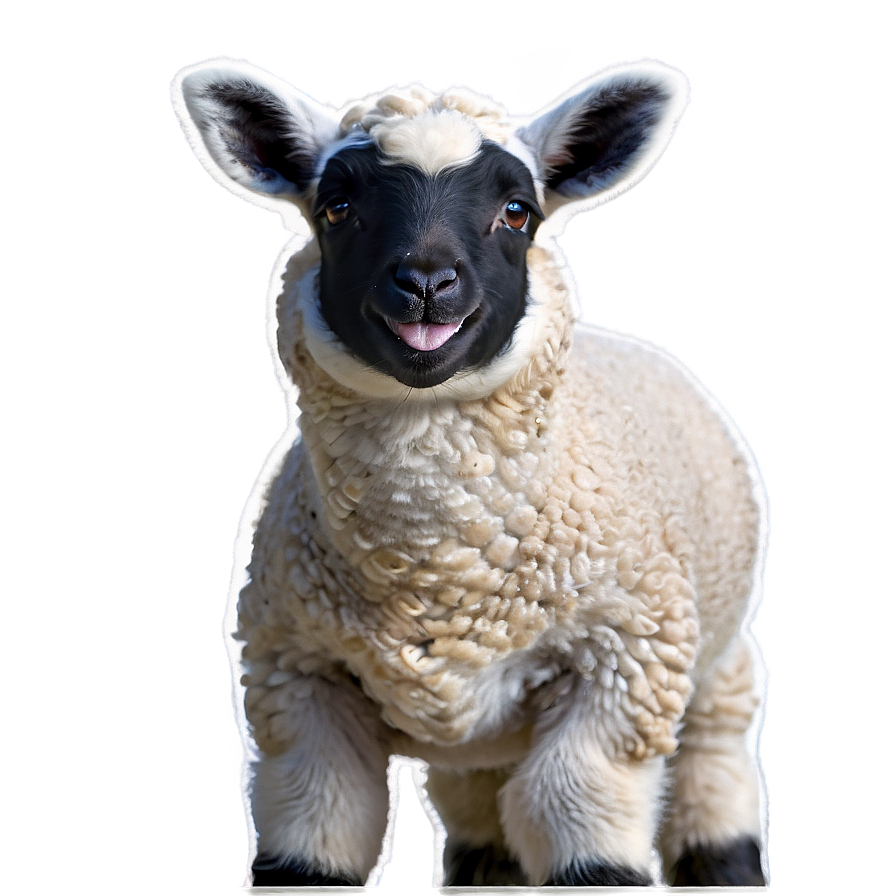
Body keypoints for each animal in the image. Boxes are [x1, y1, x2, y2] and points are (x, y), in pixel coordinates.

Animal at [173, 57, 768, 888]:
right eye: (337, 207)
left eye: (517, 211)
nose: (426, 280)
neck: (434, 569)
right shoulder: (299, 678)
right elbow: (316, 832)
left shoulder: (623, 666)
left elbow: (581, 816)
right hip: (480, 730)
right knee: (479, 795)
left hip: (713, 647)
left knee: (714, 749)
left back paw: (726, 856)